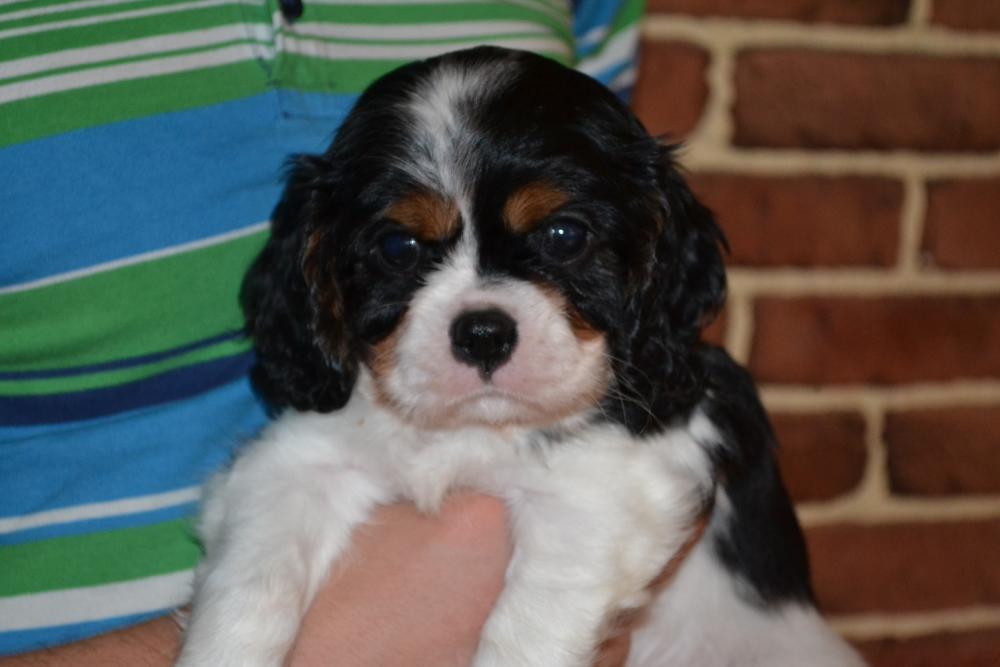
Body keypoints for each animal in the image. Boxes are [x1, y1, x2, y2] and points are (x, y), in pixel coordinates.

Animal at [176, 46, 864, 666]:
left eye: (564, 236)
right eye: (398, 248)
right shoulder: (291, 463)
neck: (473, 431)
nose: (482, 332)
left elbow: (529, 622)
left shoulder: (607, 493)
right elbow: (251, 579)